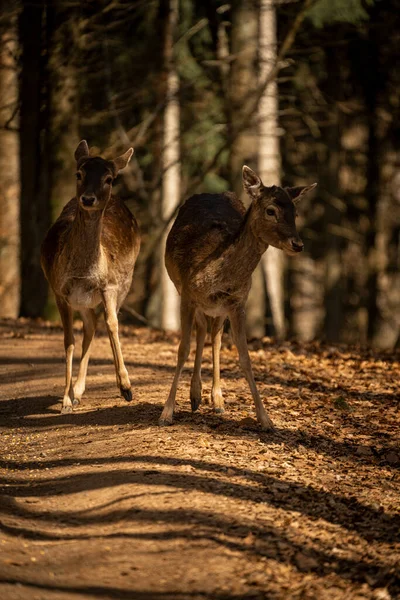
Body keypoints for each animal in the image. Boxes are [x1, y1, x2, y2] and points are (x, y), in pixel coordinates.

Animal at [40, 141, 141, 412]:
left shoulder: (109, 285)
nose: (87, 198)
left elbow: (113, 324)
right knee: (90, 324)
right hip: (81, 300)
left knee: (99, 322)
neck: (83, 272)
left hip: (125, 282)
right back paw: (76, 391)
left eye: (109, 178)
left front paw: (126, 387)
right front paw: (66, 399)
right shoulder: (59, 290)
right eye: (79, 173)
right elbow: (68, 340)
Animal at [159, 164, 316, 428]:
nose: (298, 244)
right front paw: (166, 412)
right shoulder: (188, 296)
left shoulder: (237, 303)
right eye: (271, 210)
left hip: (218, 309)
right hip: (183, 290)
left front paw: (265, 419)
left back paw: (215, 400)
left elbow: (245, 357)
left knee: (214, 335)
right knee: (202, 330)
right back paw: (195, 395)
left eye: (294, 213)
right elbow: (182, 349)